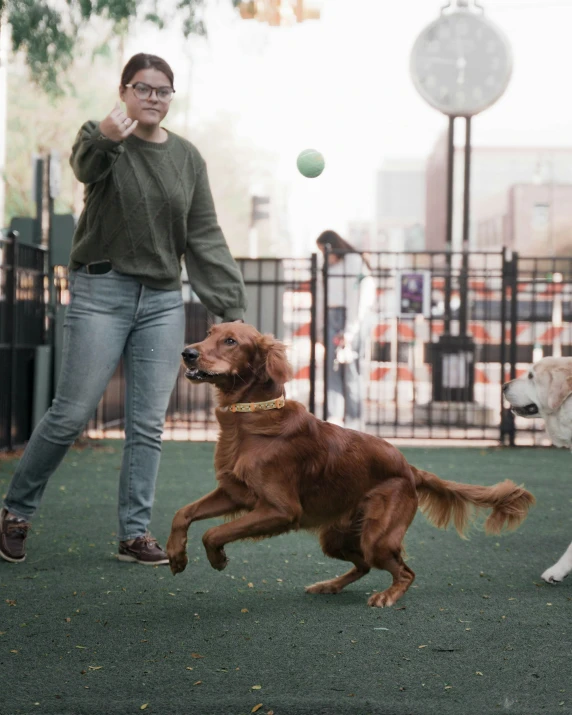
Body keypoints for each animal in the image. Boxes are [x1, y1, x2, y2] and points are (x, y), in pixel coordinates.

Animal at [166, 324, 536, 608]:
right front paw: (176, 555)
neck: (252, 418)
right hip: (335, 537)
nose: (187, 353)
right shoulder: (235, 493)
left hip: (376, 538)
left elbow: (213, 532)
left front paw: (217, 558)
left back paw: (386, 596)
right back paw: (328, 585)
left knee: (404, 571)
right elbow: (182, 513)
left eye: (230, 341)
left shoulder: (281, 510)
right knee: (364, 566)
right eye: (209, 333)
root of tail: (409, 468)